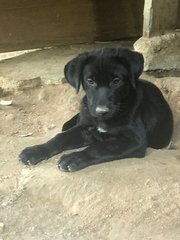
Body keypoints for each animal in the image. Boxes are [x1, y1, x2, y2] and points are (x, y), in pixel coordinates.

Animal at [19, 47, 174, 172]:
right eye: (90, 81)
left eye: (116, 81)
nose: (101, 111)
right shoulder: (85, 128)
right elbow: (60, 137)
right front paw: (36, 150)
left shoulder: (135, 140)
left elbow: (100, 148)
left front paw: (74, 158)